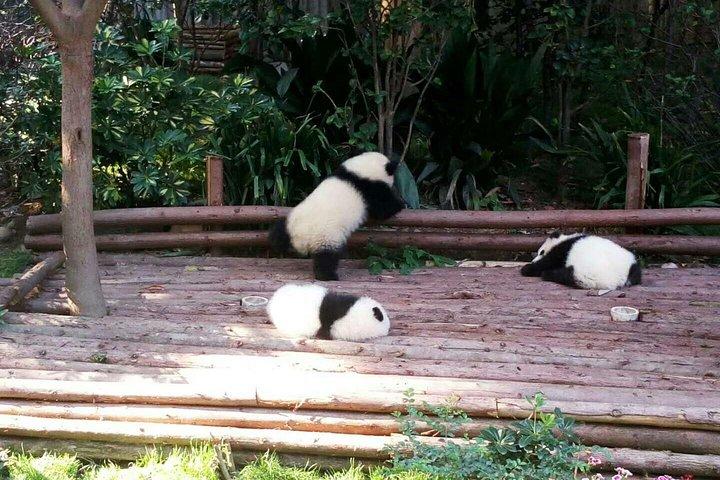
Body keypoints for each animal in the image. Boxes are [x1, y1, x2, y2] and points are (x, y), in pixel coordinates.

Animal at [268, 152, 404, 281]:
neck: (355, 174)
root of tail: (299, 237)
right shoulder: (370, 189)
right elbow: (383, 209)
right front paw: (400, 204)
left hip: (291, 220)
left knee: (278, 231)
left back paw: (277, 245)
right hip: (325, 237)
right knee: (326, 258)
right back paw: (328, 276)